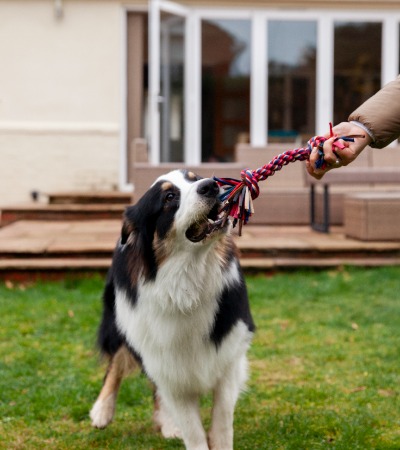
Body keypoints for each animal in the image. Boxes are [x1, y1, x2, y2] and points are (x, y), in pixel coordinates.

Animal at [89, 170, 255, 450]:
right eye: (168, 197)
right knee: (116, 361)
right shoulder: (163, 360)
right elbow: (193, 431)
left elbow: (222, 420)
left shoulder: (229, 356)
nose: (211, 185)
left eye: (195, 178)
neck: (186, 283)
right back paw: (102, 410)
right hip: (121, 322)